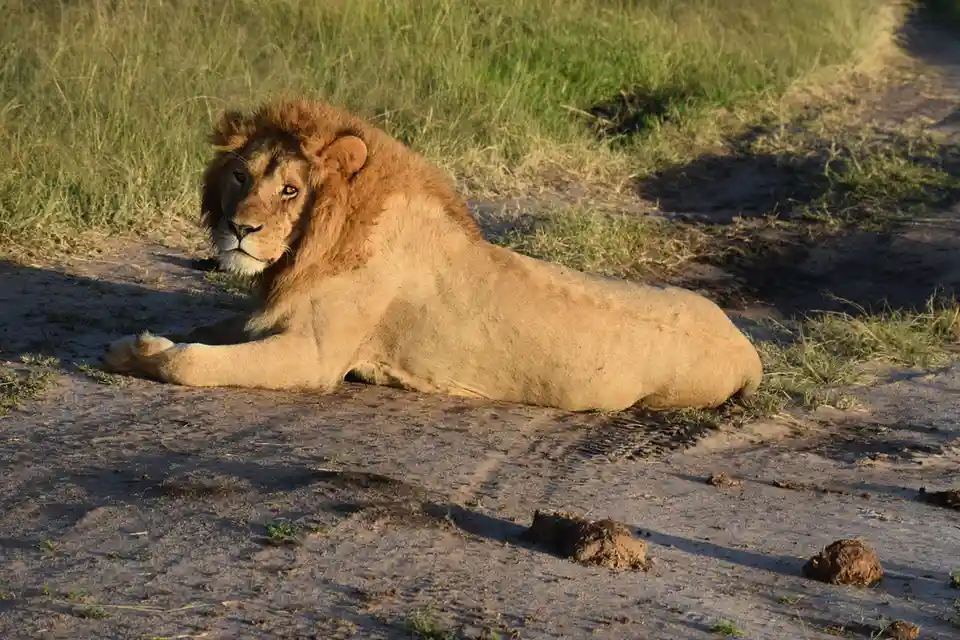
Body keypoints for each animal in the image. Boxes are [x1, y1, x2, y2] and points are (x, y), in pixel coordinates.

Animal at [103, 98, 764, 412]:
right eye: (240, 176)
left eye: (290, 189)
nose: (239, 229)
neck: (319, 240)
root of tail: (748, 347)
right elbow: (205, 331)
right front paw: (140, 341)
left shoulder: (315, 358)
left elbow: (195, 362)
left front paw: (137, 354)